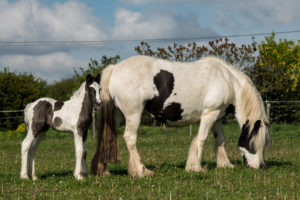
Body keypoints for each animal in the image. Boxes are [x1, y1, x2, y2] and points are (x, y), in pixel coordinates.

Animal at [91, 54, 270, 177]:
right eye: (253, 143)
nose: (256, 167)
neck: (228, 80)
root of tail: (115, 68)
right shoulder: (209, 114)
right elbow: (202, 139)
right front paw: (196, 167)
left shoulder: (217, 116)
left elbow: (220, 139)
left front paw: (225, 164)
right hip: (133, 114)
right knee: (130, 139)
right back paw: (142, 171)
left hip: (117, 116)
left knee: (105, 137)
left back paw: (103, 170)